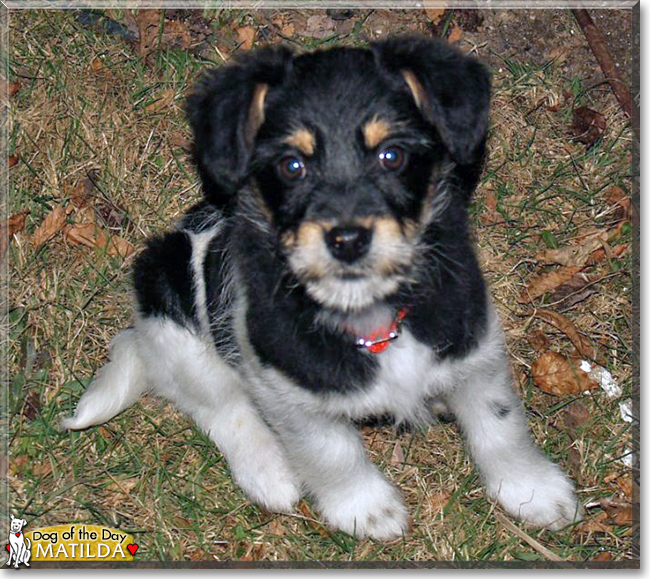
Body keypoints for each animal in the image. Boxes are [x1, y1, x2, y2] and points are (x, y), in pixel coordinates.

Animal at [60, 38, 580, 540]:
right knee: (221, 408)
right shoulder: (288, 389)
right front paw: (365, 511)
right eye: (292, 166)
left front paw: (533, 493)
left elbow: (500, 427)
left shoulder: (473, 351)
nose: (347, 239)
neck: (370, 315)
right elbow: (333, 452)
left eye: (392, 155)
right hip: (176, 320)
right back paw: (270, 474)